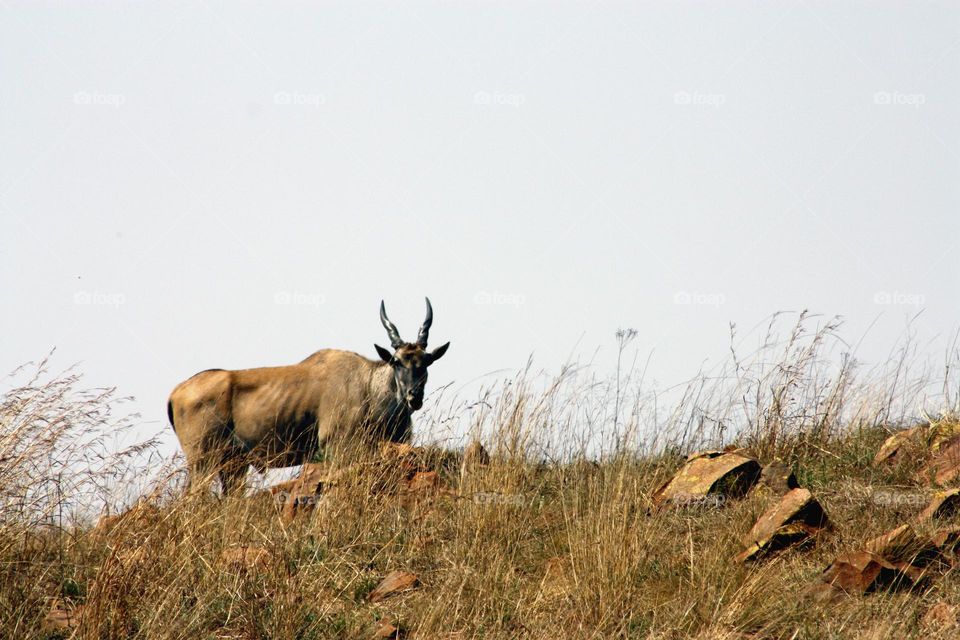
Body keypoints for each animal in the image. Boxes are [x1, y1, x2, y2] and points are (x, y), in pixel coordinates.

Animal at [167, 298, 448, 496]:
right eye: (397, 362)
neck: (368, 385)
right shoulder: (337, 448)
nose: (414, 397)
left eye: (426, 361)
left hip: (233, 464)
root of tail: (175, 393)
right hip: (203, 461)